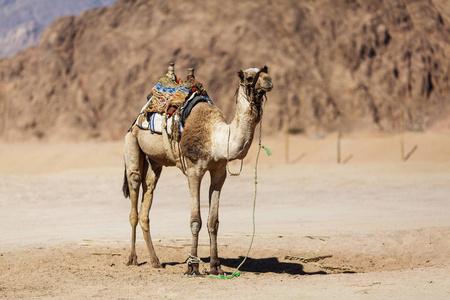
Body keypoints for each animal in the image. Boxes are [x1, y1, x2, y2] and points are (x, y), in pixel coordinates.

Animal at [121, 65, 272, 274]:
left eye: (265, 70)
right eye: (250, 77)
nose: (269, 81)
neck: (216, 137)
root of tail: (138, 117)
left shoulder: (219, 172)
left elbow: (213, 221)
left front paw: (216, 266)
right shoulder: (194, 171)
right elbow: (195, 220)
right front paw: (192, 267)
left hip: (154, 162)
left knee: (148, 195)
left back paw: (155, 261)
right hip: (132, 143)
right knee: (134, 195)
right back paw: (132, 258)